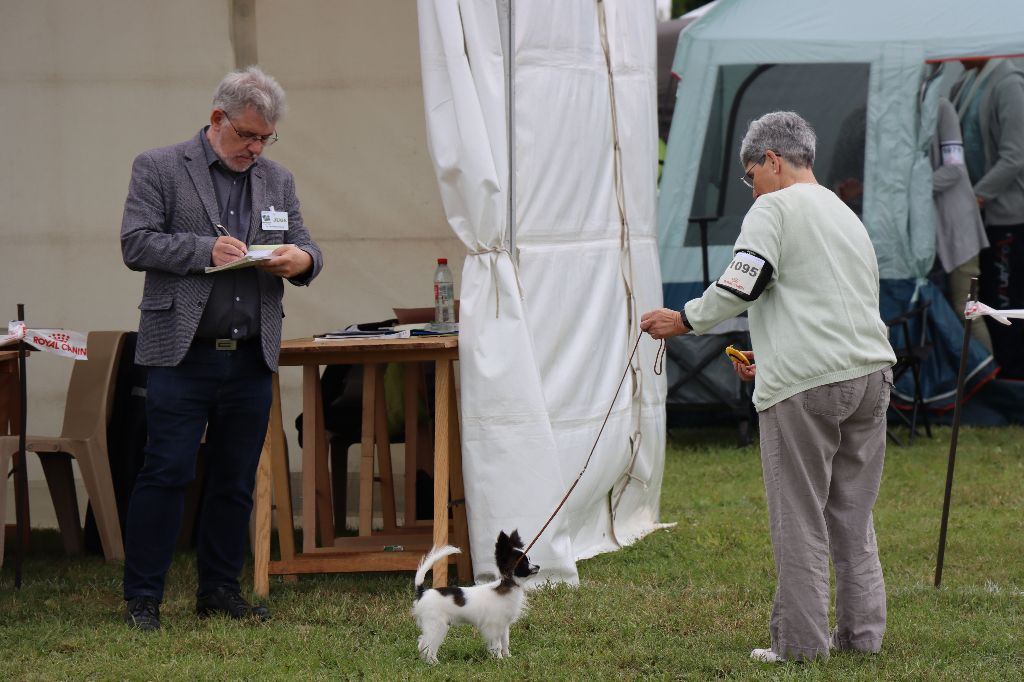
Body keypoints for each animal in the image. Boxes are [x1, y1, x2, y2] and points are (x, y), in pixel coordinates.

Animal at [413, 528, 540, 659]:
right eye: (523, 563)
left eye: (530, 559)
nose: (538, 566)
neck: (507, 586)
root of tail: (422, 592)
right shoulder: (493, 626)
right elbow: (497, 645)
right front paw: (499, 659)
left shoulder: (504, 626)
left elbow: (505, 642)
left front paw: (507, 657)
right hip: (437, 625)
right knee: (428, 646)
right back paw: (433, 662)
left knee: (422, 644)